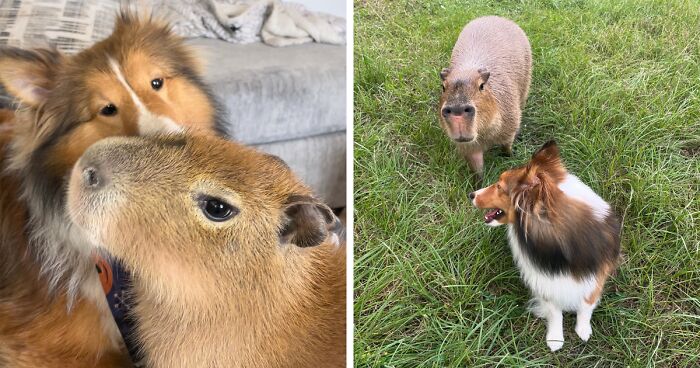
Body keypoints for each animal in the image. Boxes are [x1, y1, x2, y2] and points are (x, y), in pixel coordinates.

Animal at [468, 140, 620, 350]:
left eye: (499, 186)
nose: (471, 194)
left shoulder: (596, 275)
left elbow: (586, 304)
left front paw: (583, 329)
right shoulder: (545, 280)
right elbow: (555, 311)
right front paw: (555, 338)